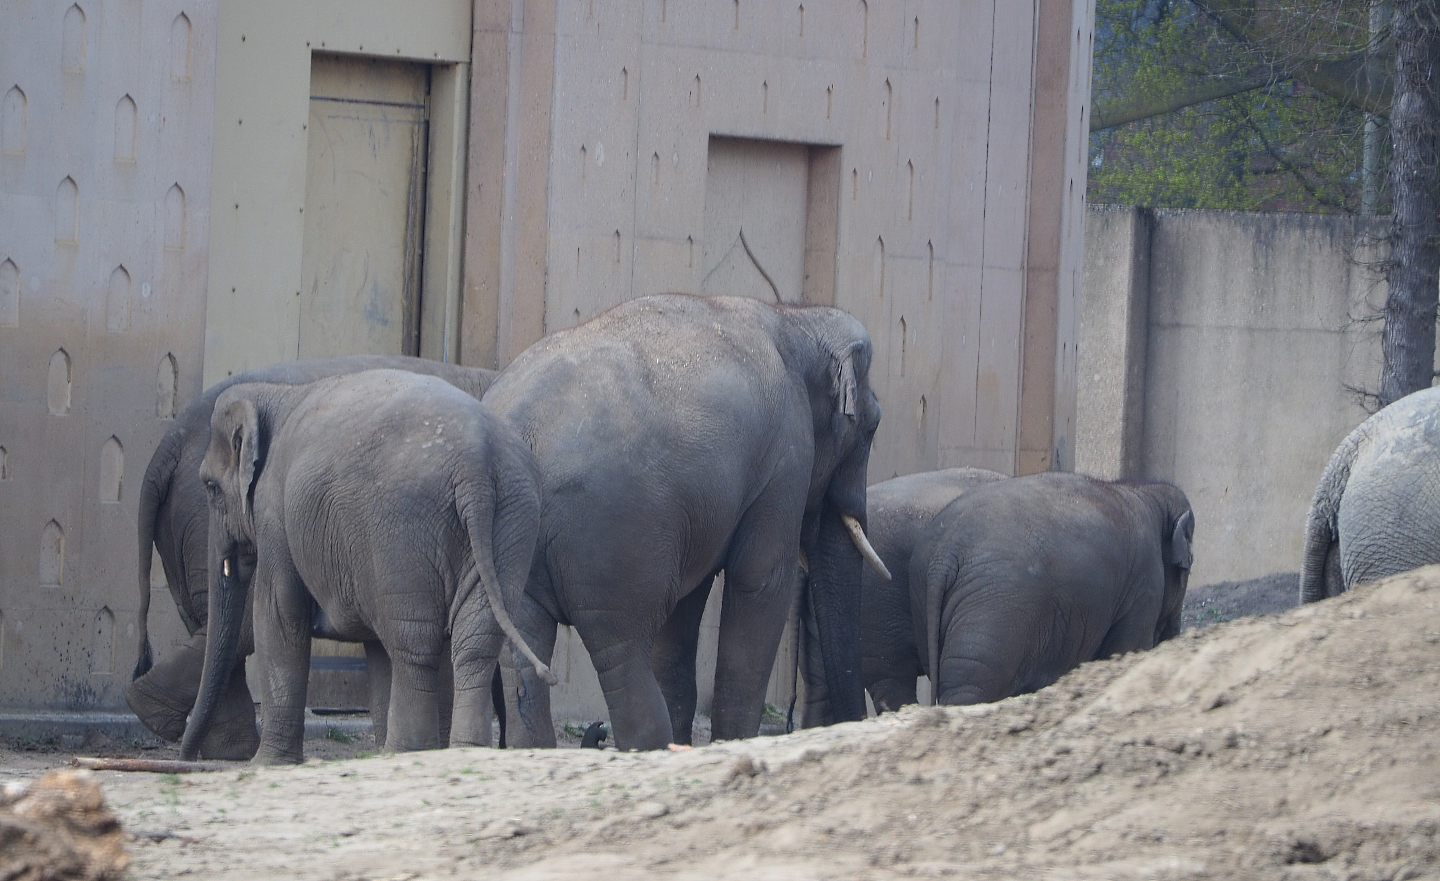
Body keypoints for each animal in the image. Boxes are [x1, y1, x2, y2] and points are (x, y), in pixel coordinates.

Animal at [482, 293, 887, 751]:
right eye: (872, 427)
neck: (796, 318)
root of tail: (525, 434)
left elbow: (685, 608)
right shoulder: (786, 456)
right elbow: (761, 581)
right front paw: (733, 743)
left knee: (525, 654)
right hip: (613, 540)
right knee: (621, 652)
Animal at [909, 472, 1194, 706]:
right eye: (1188, 567)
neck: (1142, 490)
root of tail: (945, 555)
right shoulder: (1145, 583)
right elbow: (1127, 648)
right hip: (994, 614)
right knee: (969, 688)